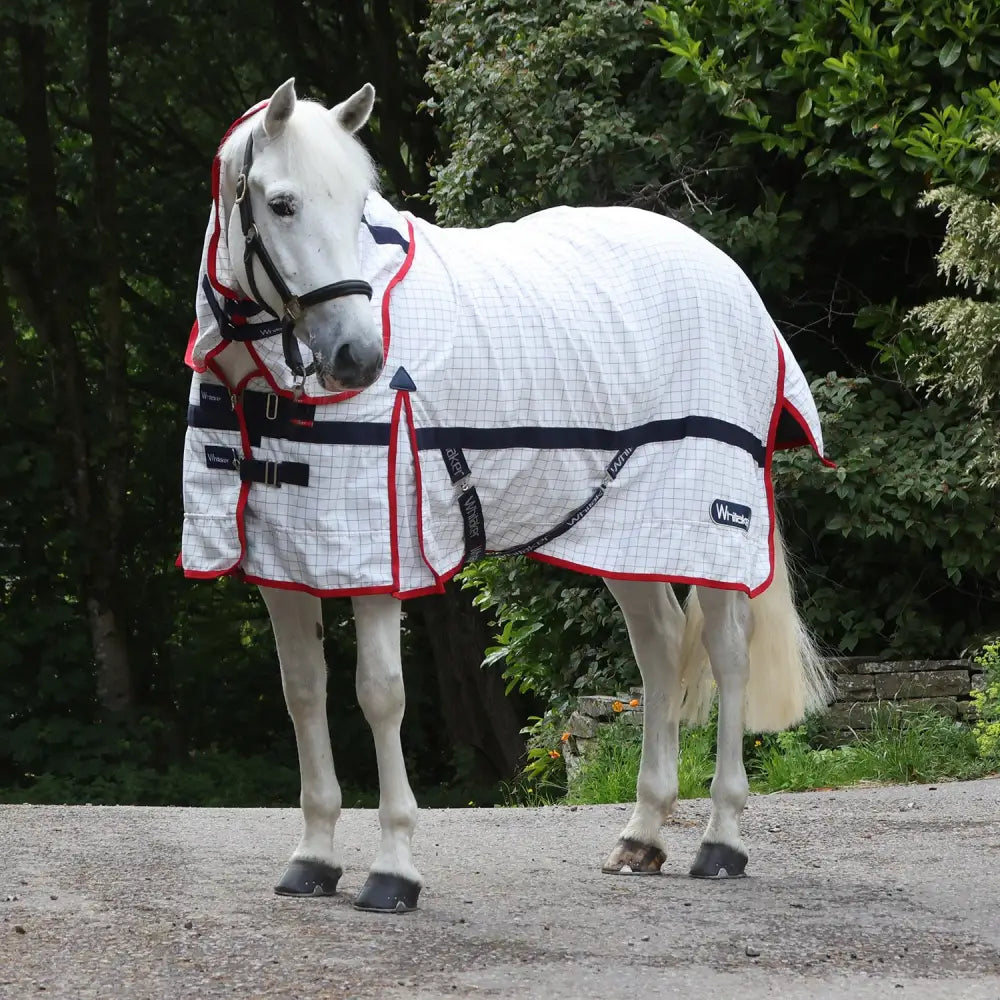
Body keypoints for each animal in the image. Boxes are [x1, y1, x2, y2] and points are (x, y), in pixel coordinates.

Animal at [180, 79, 831, 913]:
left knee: (727, 657)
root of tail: (729, 275)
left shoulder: (383, 557)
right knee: (657, 647)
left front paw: (393, 871)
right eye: (284, 203)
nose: (359, 357)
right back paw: (641, 838)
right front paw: (313, 859)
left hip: (711, 527)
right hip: (628, 531)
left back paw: (721, 841)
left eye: (359, 204)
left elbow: (379, 694)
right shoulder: (287, 564)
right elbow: (304, 693)